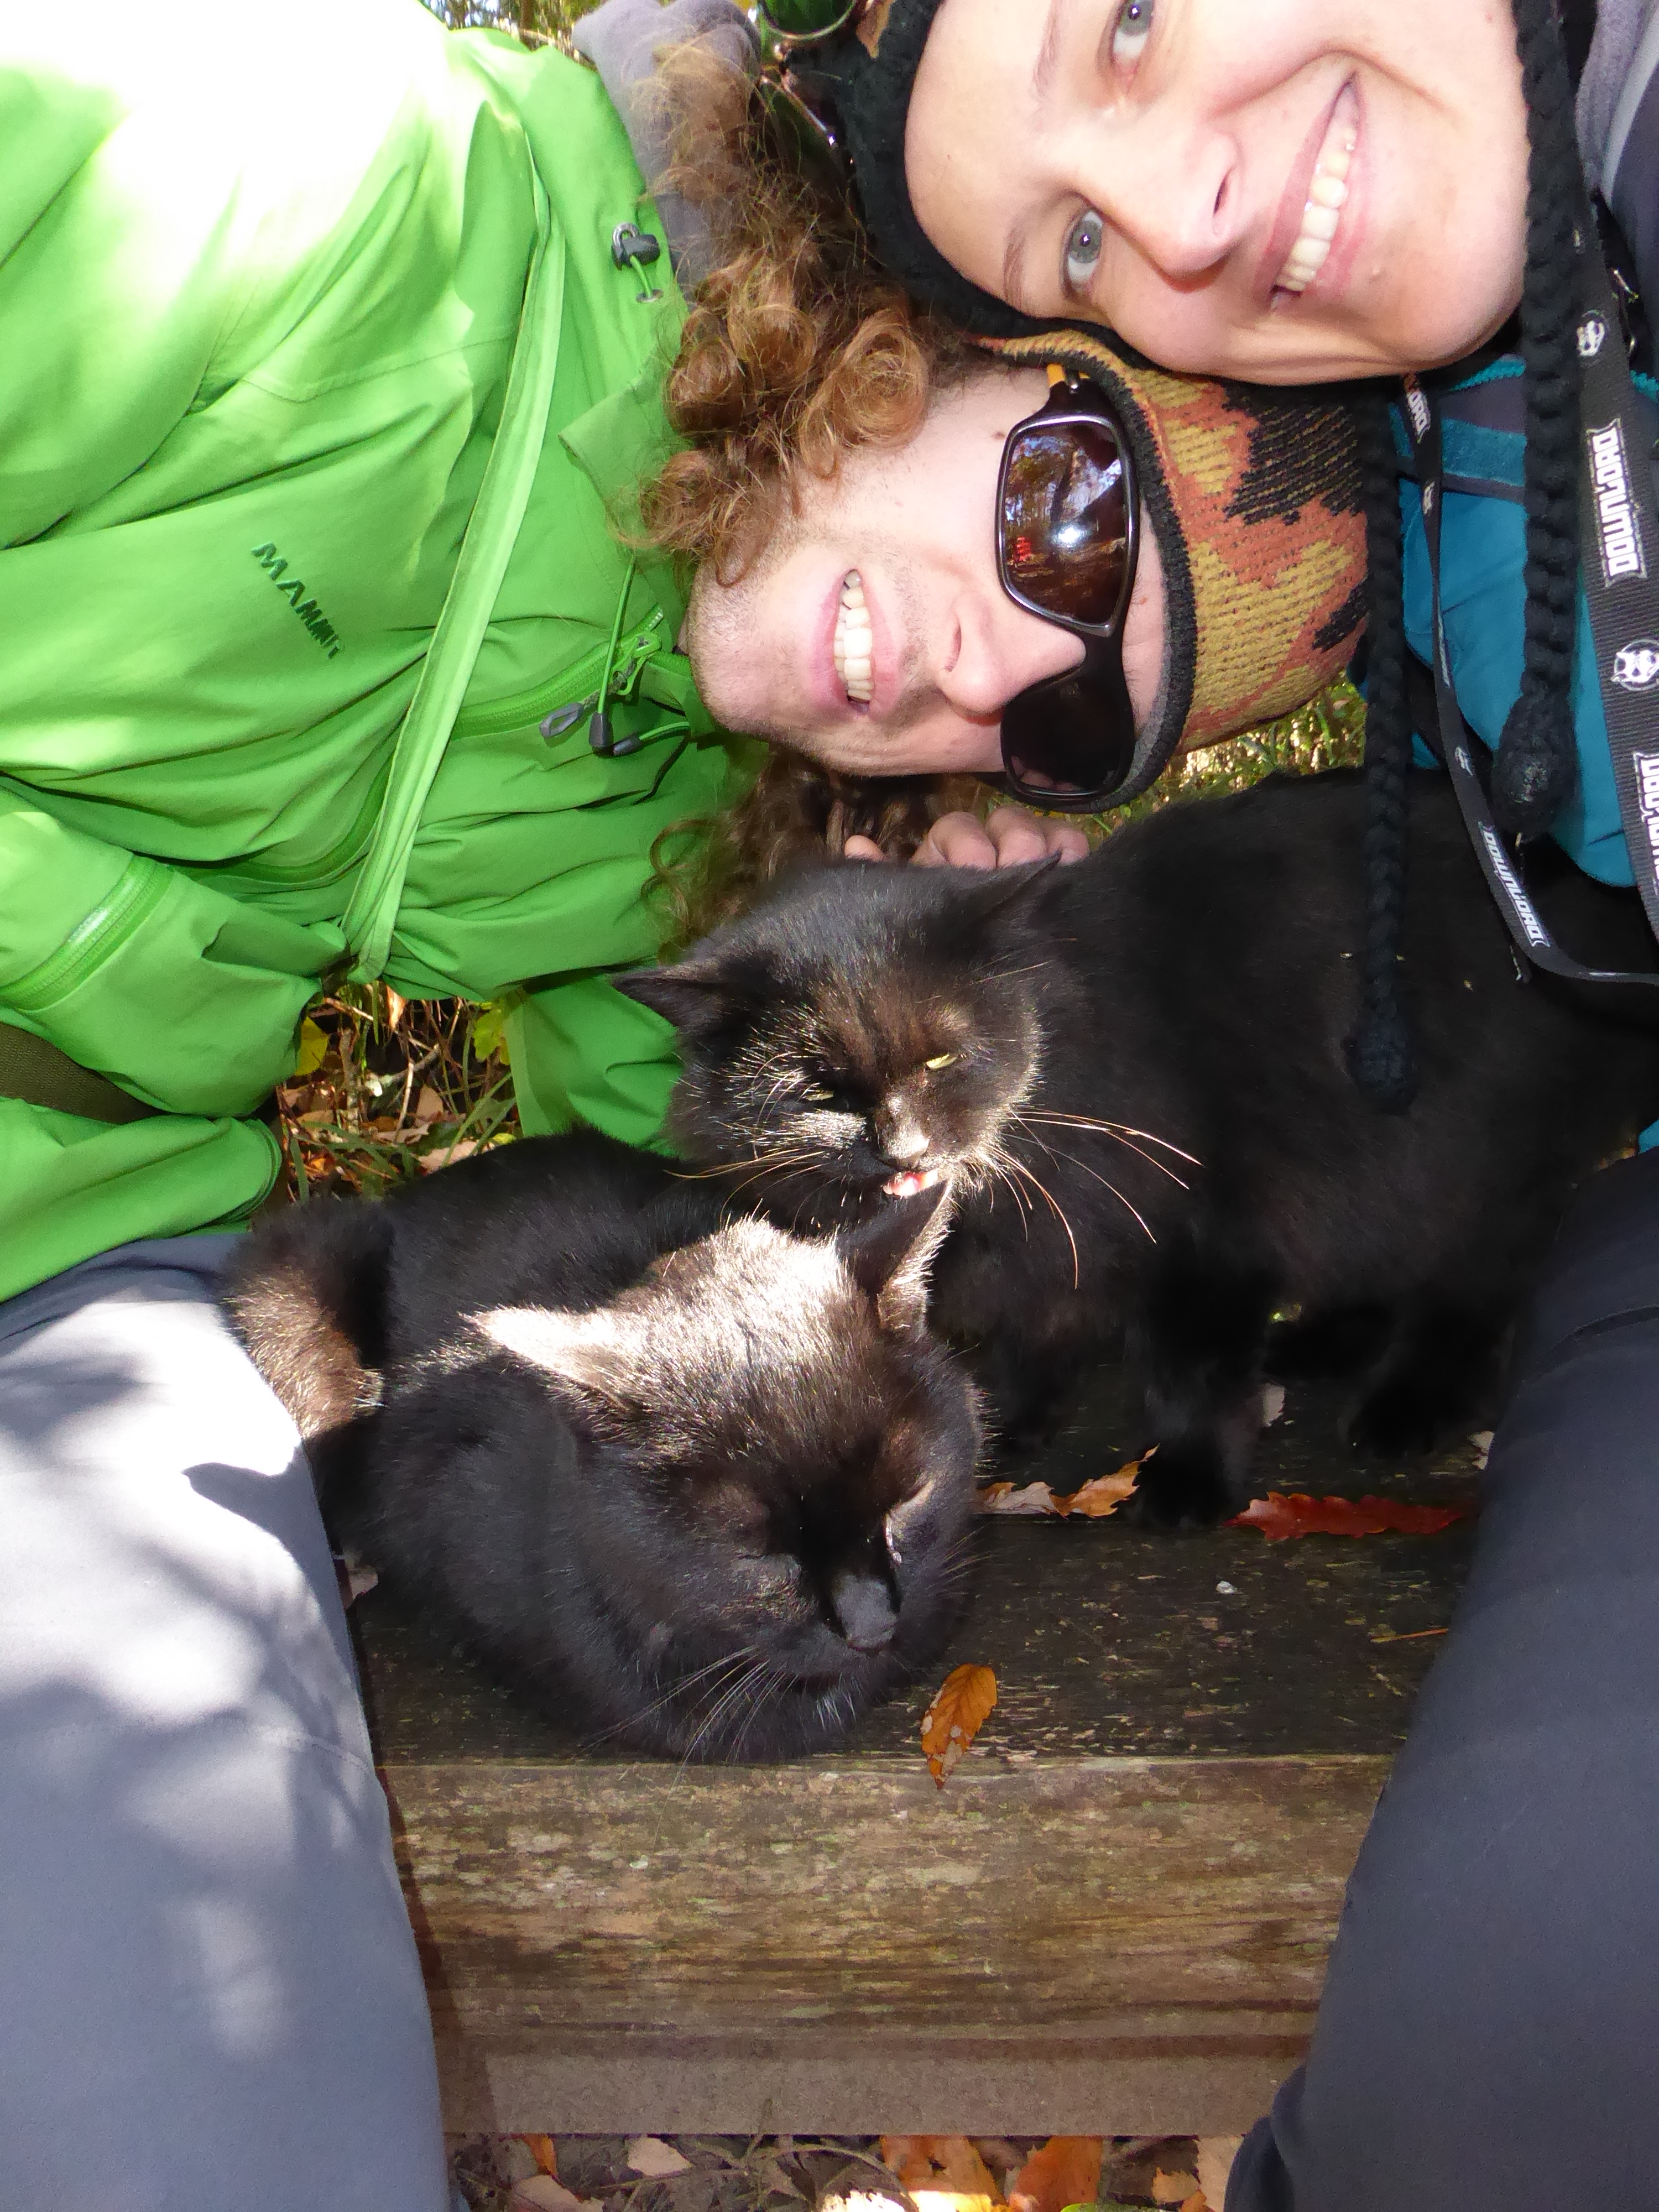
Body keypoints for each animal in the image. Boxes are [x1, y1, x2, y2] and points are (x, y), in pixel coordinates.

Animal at [618, 769, 1659, 1529]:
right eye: (822, 1094)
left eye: (942, 1056)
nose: (903, 1145)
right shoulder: (1047, 1257)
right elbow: (1029, 1340)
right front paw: (1002, 1422)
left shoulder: (1206, 1236)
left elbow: (1191, 1379)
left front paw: (1188, 1485)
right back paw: (1321, 1343)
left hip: (1471, 1166)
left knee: (1469, 1293)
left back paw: (1408, 1404)